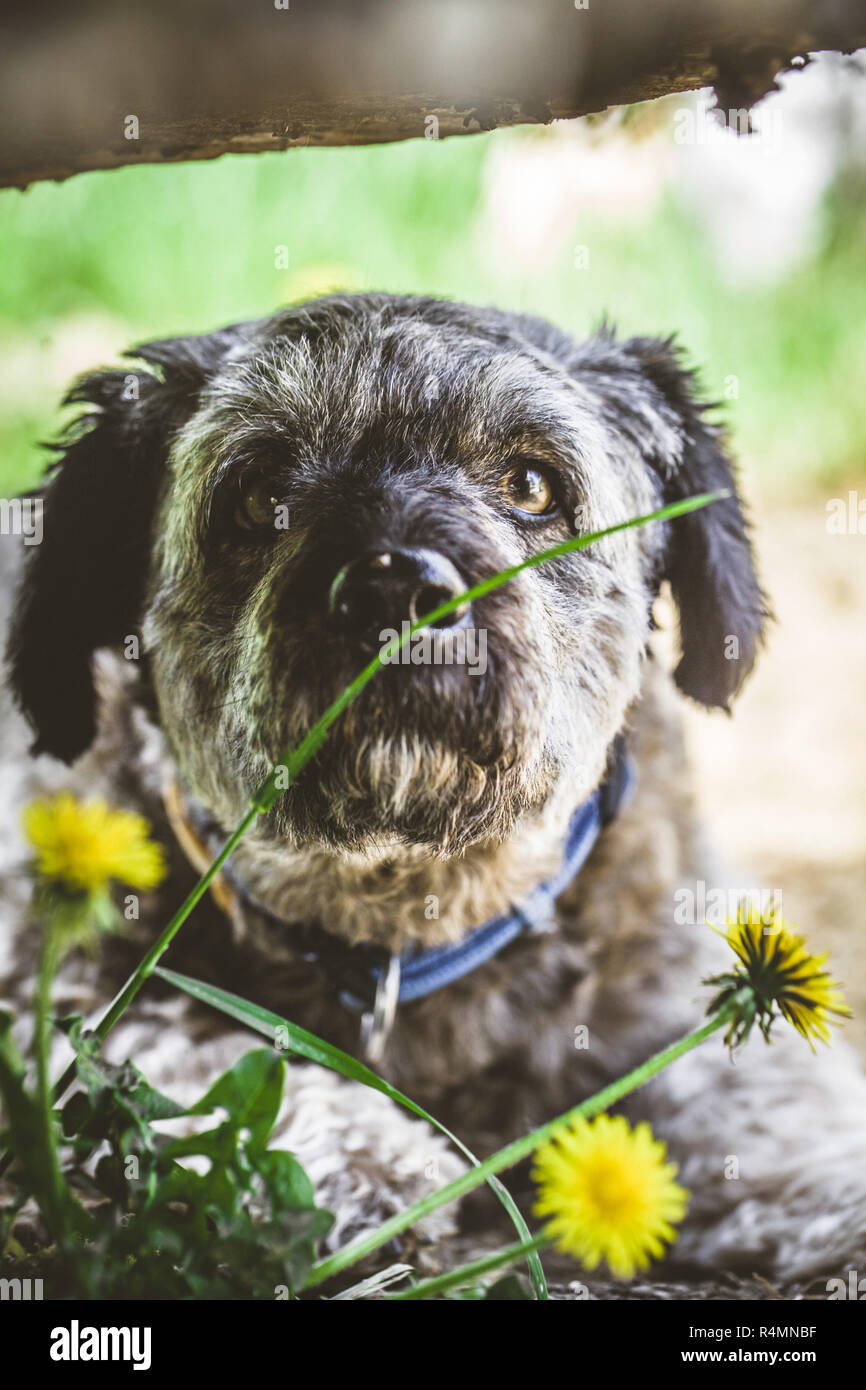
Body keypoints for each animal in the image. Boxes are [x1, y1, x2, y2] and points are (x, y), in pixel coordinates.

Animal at [1, 296, 866, 1289]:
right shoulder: (52, 982)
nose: (397, 588)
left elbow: (761, 1109)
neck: (411, 919)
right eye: (257, 495)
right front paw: (390, 1172)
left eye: (531, 484)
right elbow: (196, 1045)